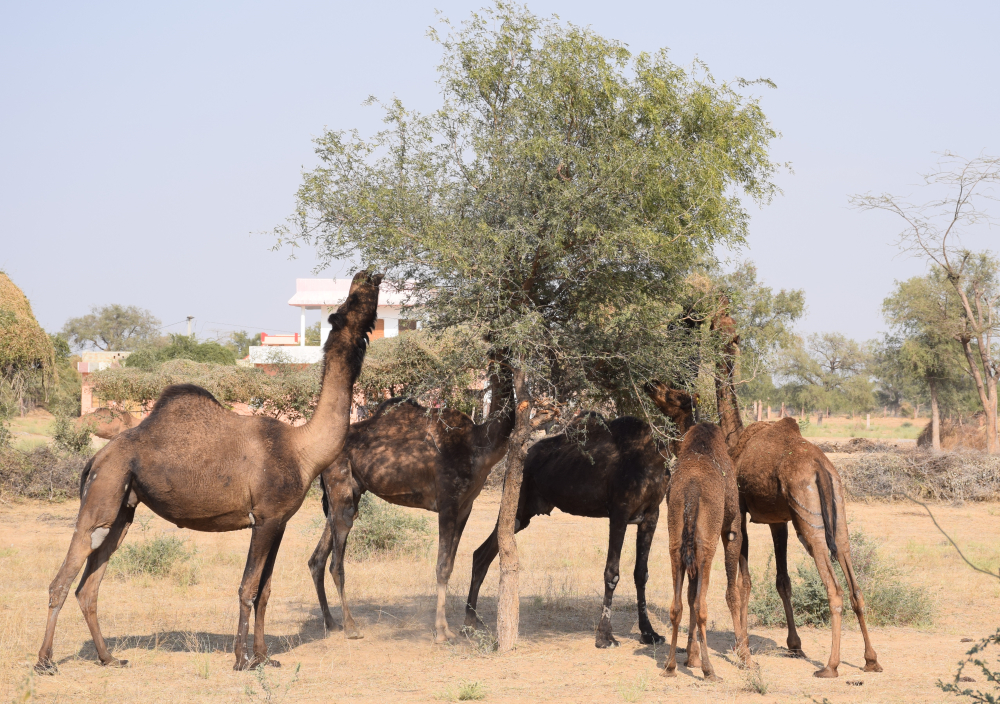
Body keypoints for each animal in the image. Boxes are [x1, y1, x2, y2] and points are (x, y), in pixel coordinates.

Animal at [33, 270, 380, 676]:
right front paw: (241, 659)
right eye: (350, 301)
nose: (369, 276)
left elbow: (266, 590)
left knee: (89, 585)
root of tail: (97, 458)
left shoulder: (279, 521)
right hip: (102, 494)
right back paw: (45, 662)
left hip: (123, 508)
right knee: (64, 577)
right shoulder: (264, 518)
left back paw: (109, 657)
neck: (302, 449)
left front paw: (265, 657)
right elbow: (248, 588)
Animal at [306, 360, 516, 640]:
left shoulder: (465, 506)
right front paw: (441, 631)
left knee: (317, 559)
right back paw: (351, 627)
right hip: (339, 486)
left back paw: (331, 624)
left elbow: (450, 564)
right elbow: (442, 566)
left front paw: (447, 628)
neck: (479, 445)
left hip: (350, 493)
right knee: (335, 562)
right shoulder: (447, 502)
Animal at [466, 388, 696, 652]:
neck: (652, 457)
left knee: (483, 553)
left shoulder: (651, 515)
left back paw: (472, 620)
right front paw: (605, 637)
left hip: (521, 516)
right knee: (484, 550)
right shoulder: (619, 512)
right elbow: (612, 573)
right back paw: (469, 623)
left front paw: (649, 633)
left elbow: (641, 573)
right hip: (518, 505)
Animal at [660, 420, 748, 680]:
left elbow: (689, 595)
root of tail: (691, 492)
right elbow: (732, 592)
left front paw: (691, 657)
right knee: (701, 605)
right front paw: (745, 656)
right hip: (707, 545)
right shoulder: (731, 526)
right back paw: (710, 670)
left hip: (677, 543)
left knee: (677, 606)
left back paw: (670, 666)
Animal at [712, 310, 884, 676]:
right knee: (855, 585)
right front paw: (793, 644)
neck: (734, 438)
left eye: (722, 325)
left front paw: (742, 648)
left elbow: (745, 581)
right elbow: (782, 580)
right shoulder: (779, 519)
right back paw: (871, 660)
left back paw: (830, 666)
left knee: (834, 589)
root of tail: (821, 468)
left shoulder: (743, 512)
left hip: (809, 523)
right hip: (837, 514)